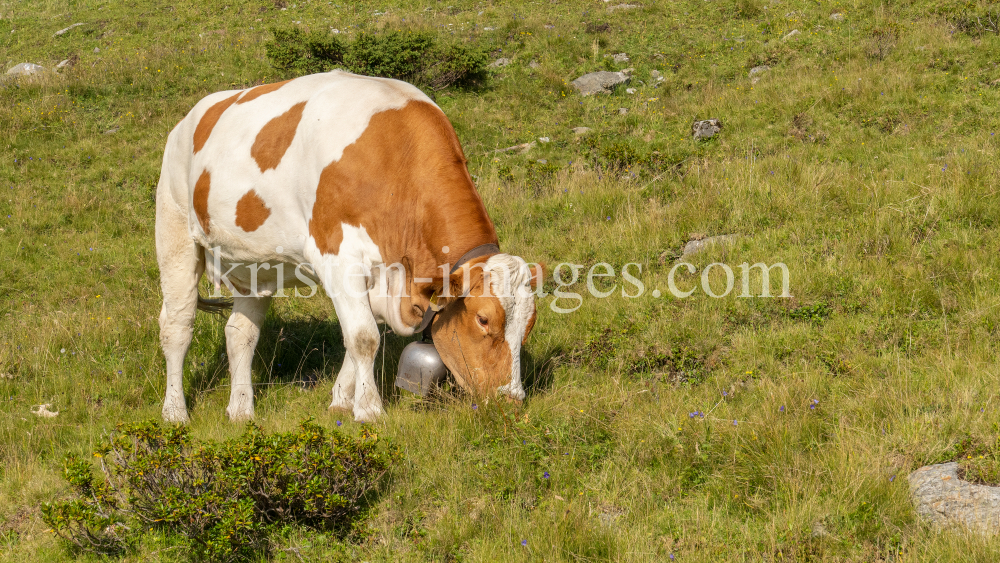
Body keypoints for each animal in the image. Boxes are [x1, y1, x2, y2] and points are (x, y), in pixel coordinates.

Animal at [154, 70, 540, 424]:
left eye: (529, 325)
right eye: (483, 319)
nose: (511, 401)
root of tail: (188, 120)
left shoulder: (384, 276)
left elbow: (360, 335)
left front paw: (342, 399)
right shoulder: (337, 256)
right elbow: (364, 337)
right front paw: (369, 409)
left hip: (256, 265)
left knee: (240, 333)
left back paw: (241, 411)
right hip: (174, 231)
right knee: (177, 327)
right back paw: (175, 412)